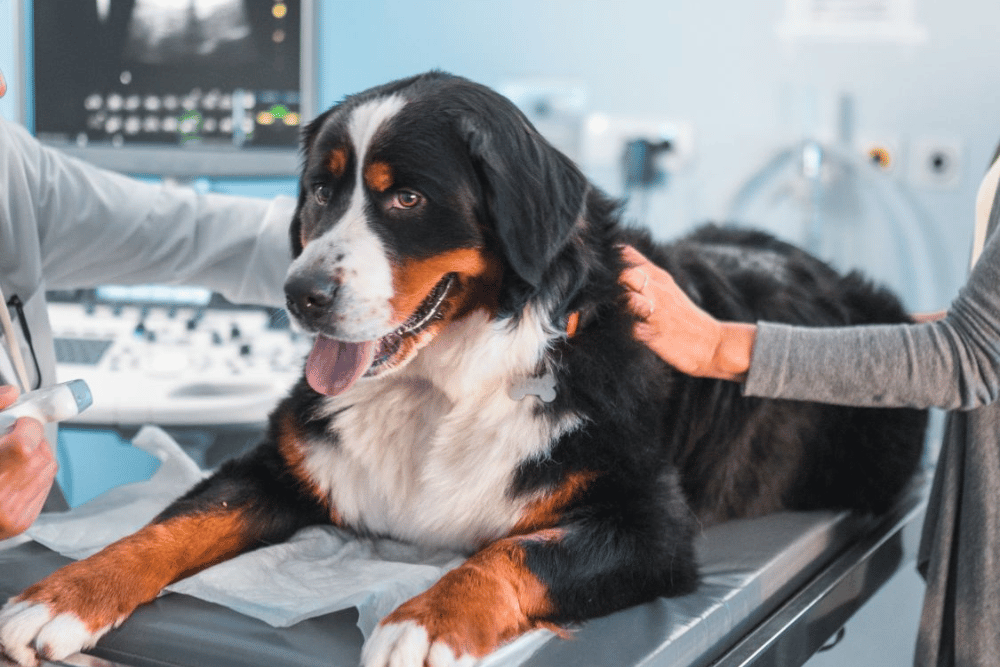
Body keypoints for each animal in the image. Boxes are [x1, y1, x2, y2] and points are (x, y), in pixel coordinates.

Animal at [0, 73, 928, 667]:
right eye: (320, 192)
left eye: (404, 197)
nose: (300, 294)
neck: (439, 386)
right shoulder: (285, 461)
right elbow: (167, 526)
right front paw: (61, 596)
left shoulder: (647, 524)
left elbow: (512, 555)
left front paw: (425, 621)